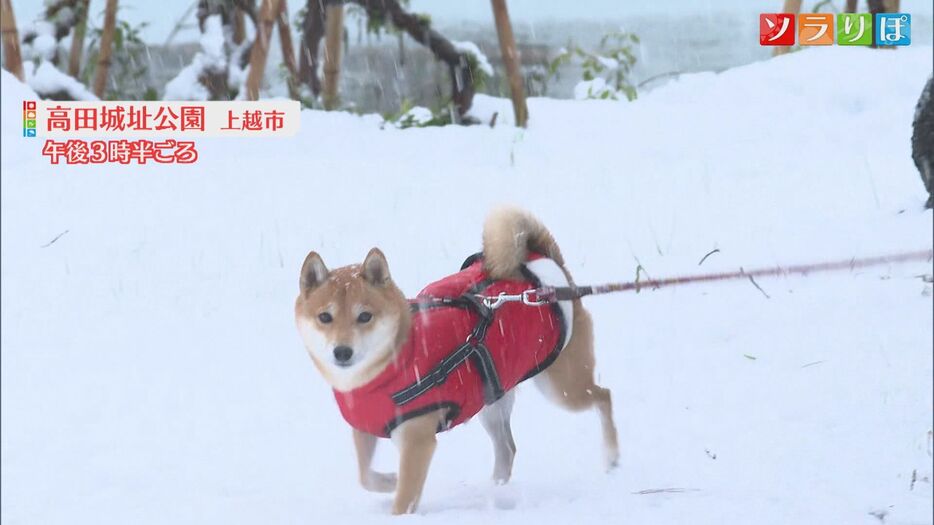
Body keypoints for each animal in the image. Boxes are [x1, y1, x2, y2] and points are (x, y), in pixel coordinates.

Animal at [296, 207, 616, 512]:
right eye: (325, 317)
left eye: (365, 317)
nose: (342, 352)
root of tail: (544, 264)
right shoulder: (365, 429)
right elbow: (365, 476)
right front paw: (391, 481)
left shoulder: (418, 440)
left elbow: (402, 500)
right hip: (492, 396)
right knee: (507, 449)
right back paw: (495, 489)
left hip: (562, 387)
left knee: (603, 396)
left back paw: (611, 456)